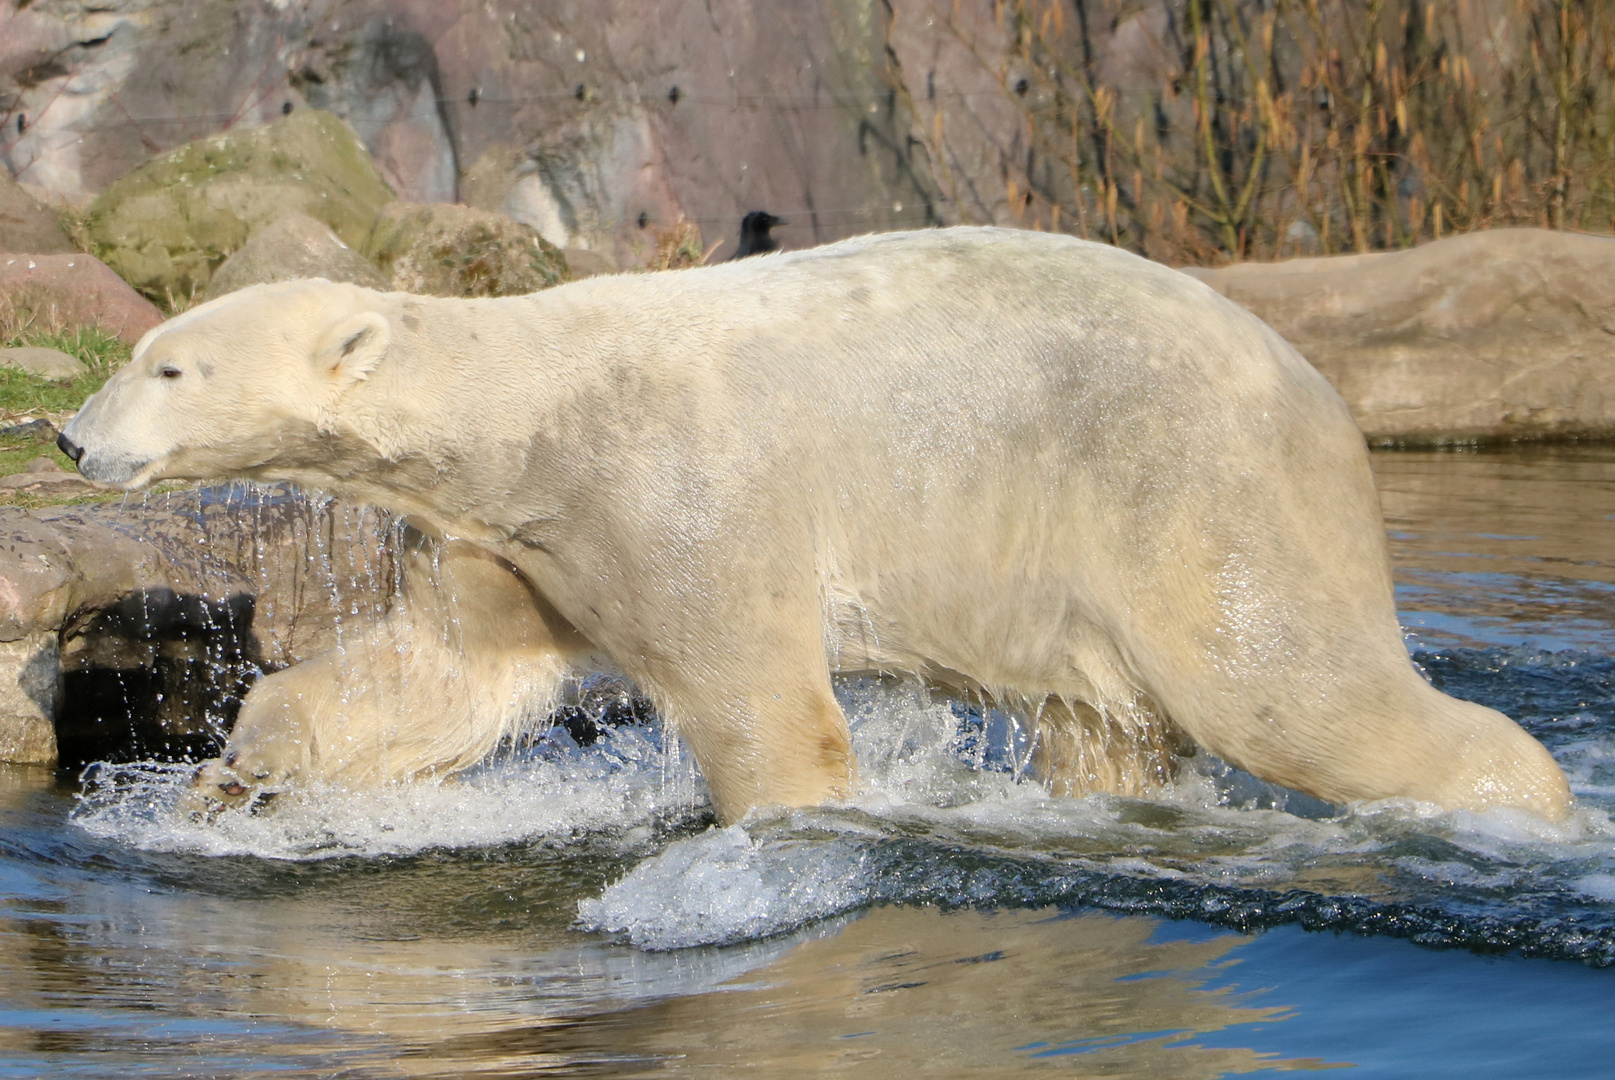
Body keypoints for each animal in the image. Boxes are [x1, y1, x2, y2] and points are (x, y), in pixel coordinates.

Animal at [59, 227, 1563, 816]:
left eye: (168, 368)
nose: (69, 435)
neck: (539, 402)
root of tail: (1320, 394)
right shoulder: (519, 537)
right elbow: (444, 675)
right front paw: (237, 773)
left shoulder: (678, 491)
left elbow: (757, 699)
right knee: (1104, 724)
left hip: (1190, 483)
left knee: (1282, 681)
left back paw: (1519, 807)